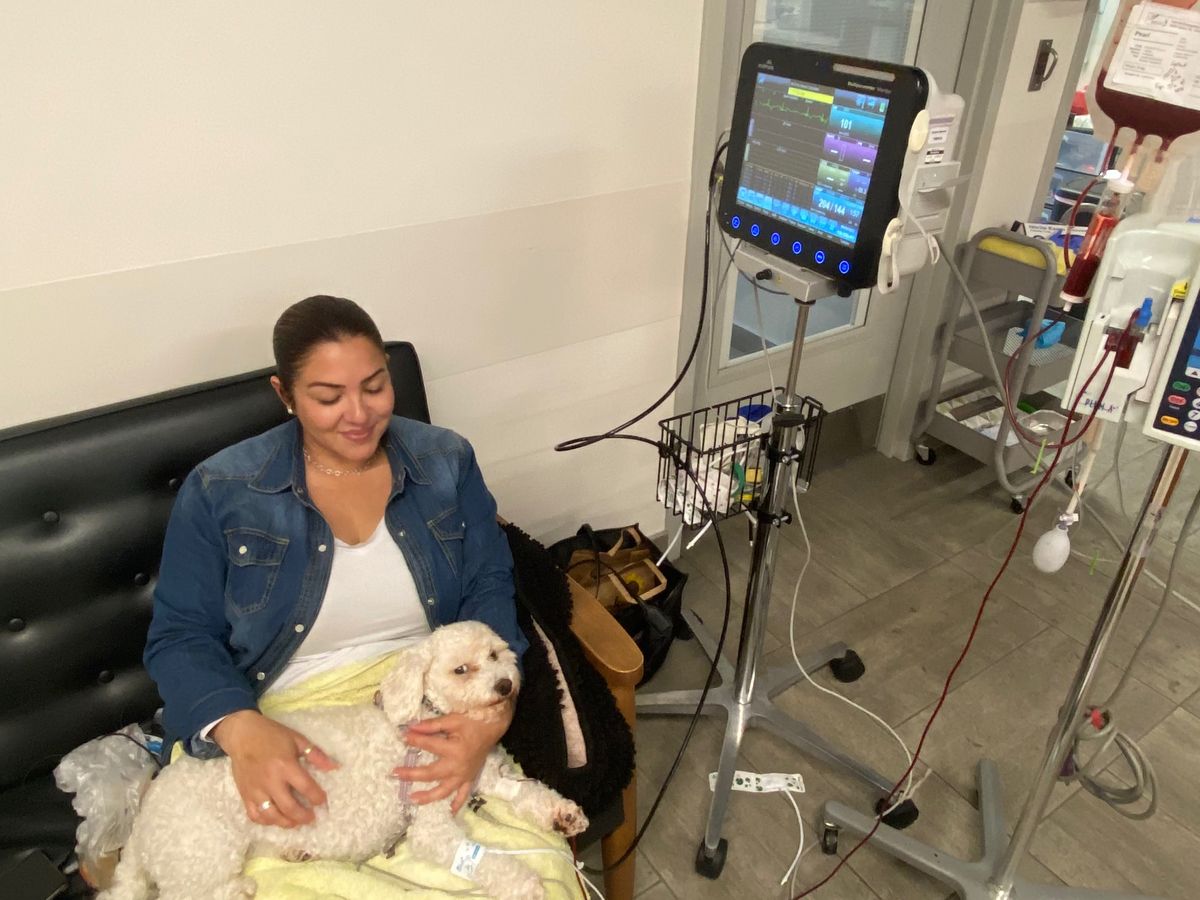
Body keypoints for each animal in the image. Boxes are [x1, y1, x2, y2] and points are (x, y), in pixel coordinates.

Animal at [100, 621, 588, 900]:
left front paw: (560, 813)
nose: (506, 685)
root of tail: (141, 824)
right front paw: (525, 882)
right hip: (204, 849)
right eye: (461, 670)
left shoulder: (477, 770)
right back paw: (238, 890)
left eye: (494, 654)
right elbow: (485, 859)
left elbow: (525, 791)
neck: (427, 723)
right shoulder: (431, 825)